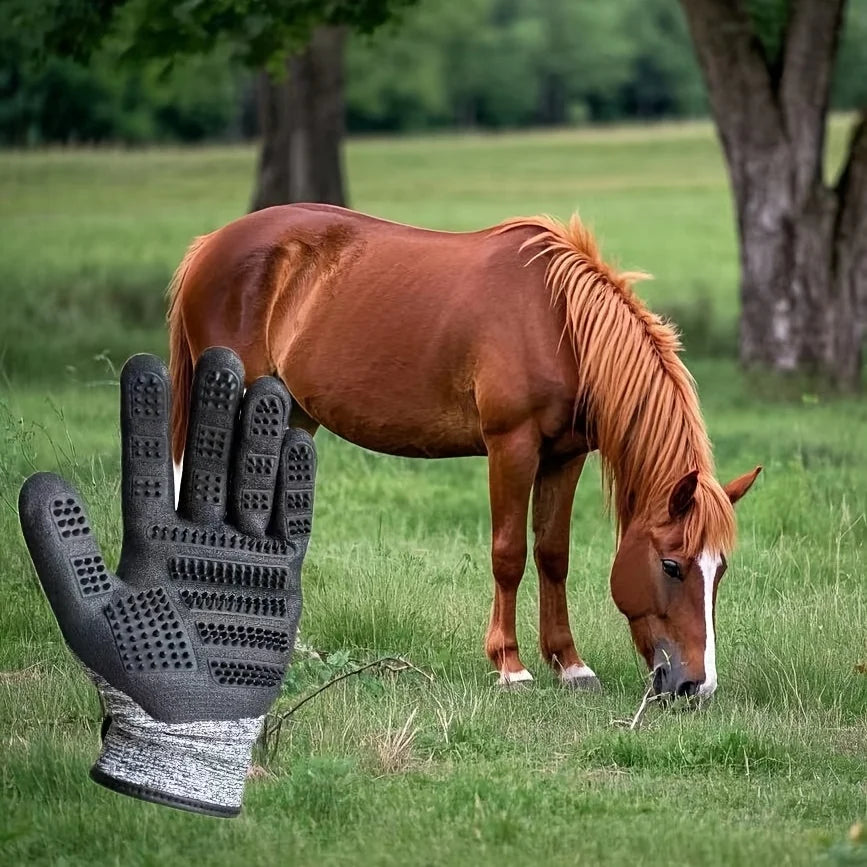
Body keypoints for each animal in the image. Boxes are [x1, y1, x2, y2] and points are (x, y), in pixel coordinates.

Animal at [166, 203, 760, 698]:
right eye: (672, 565)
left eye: (720, 571)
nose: (696, 687)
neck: (558, 325)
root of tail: (210, 244)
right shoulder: (512, 445)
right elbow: (509, 554)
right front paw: (511, 666)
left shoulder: (565, 456)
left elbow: (553, 555)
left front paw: (570, 665)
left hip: (292, 415)